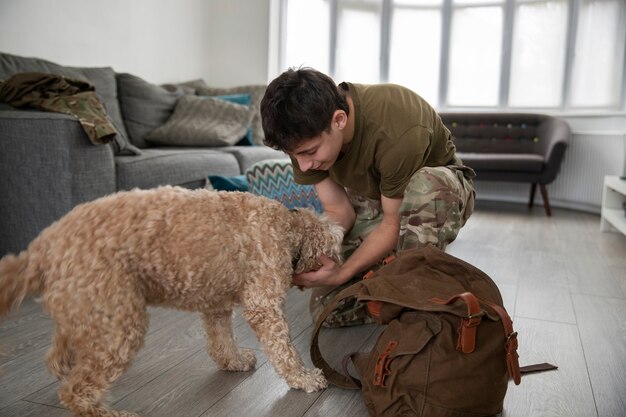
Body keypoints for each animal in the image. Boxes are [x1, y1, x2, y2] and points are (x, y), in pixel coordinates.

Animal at [0, 186, 342, 416]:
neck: (287, 228)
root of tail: (44, 245)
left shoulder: (215, 306)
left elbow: (221, 341)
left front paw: (233, 361)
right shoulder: (263, 304)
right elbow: (284, 350)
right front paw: (303, 377)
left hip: (89, 306)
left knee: (58, 352)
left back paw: (65, 362)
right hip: (118, 324)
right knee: (74, 392)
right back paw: (105, 411)